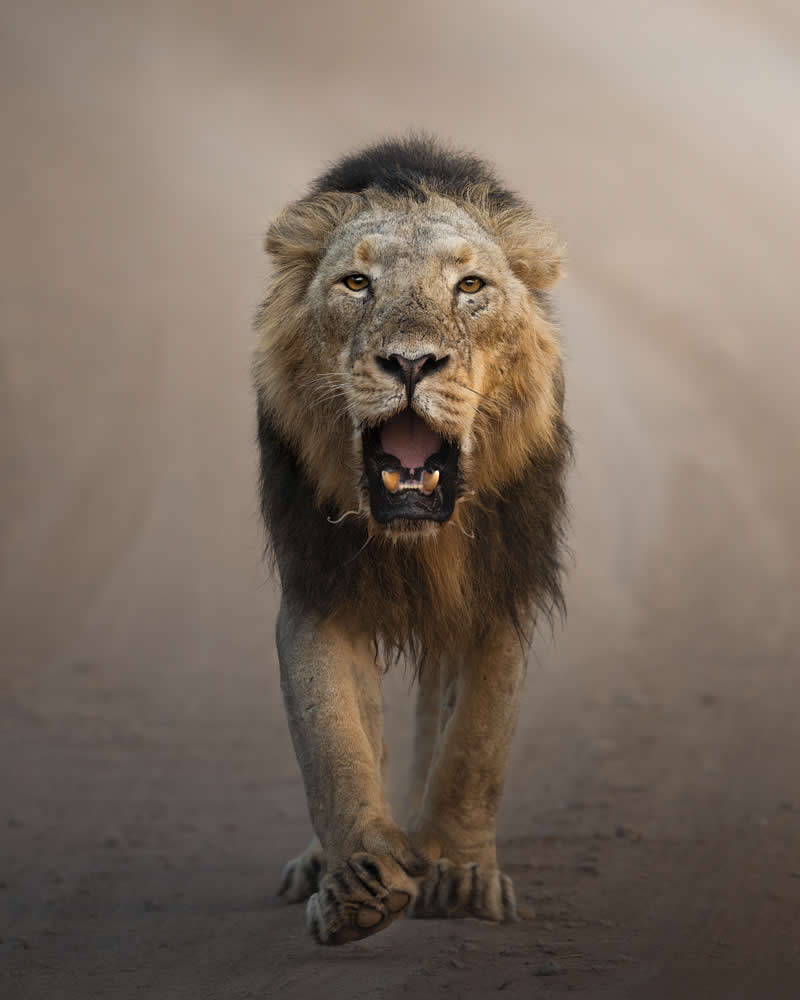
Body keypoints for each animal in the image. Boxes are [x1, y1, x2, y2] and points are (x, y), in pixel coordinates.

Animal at [253, 135, 570, 945]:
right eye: (356, 283)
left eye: (470, 285)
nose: (410, 362)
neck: (419, 538)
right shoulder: (319, 590)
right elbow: (333, 742)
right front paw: (360, 880)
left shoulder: (497, 593)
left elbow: (474, 744)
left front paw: (457, 873)